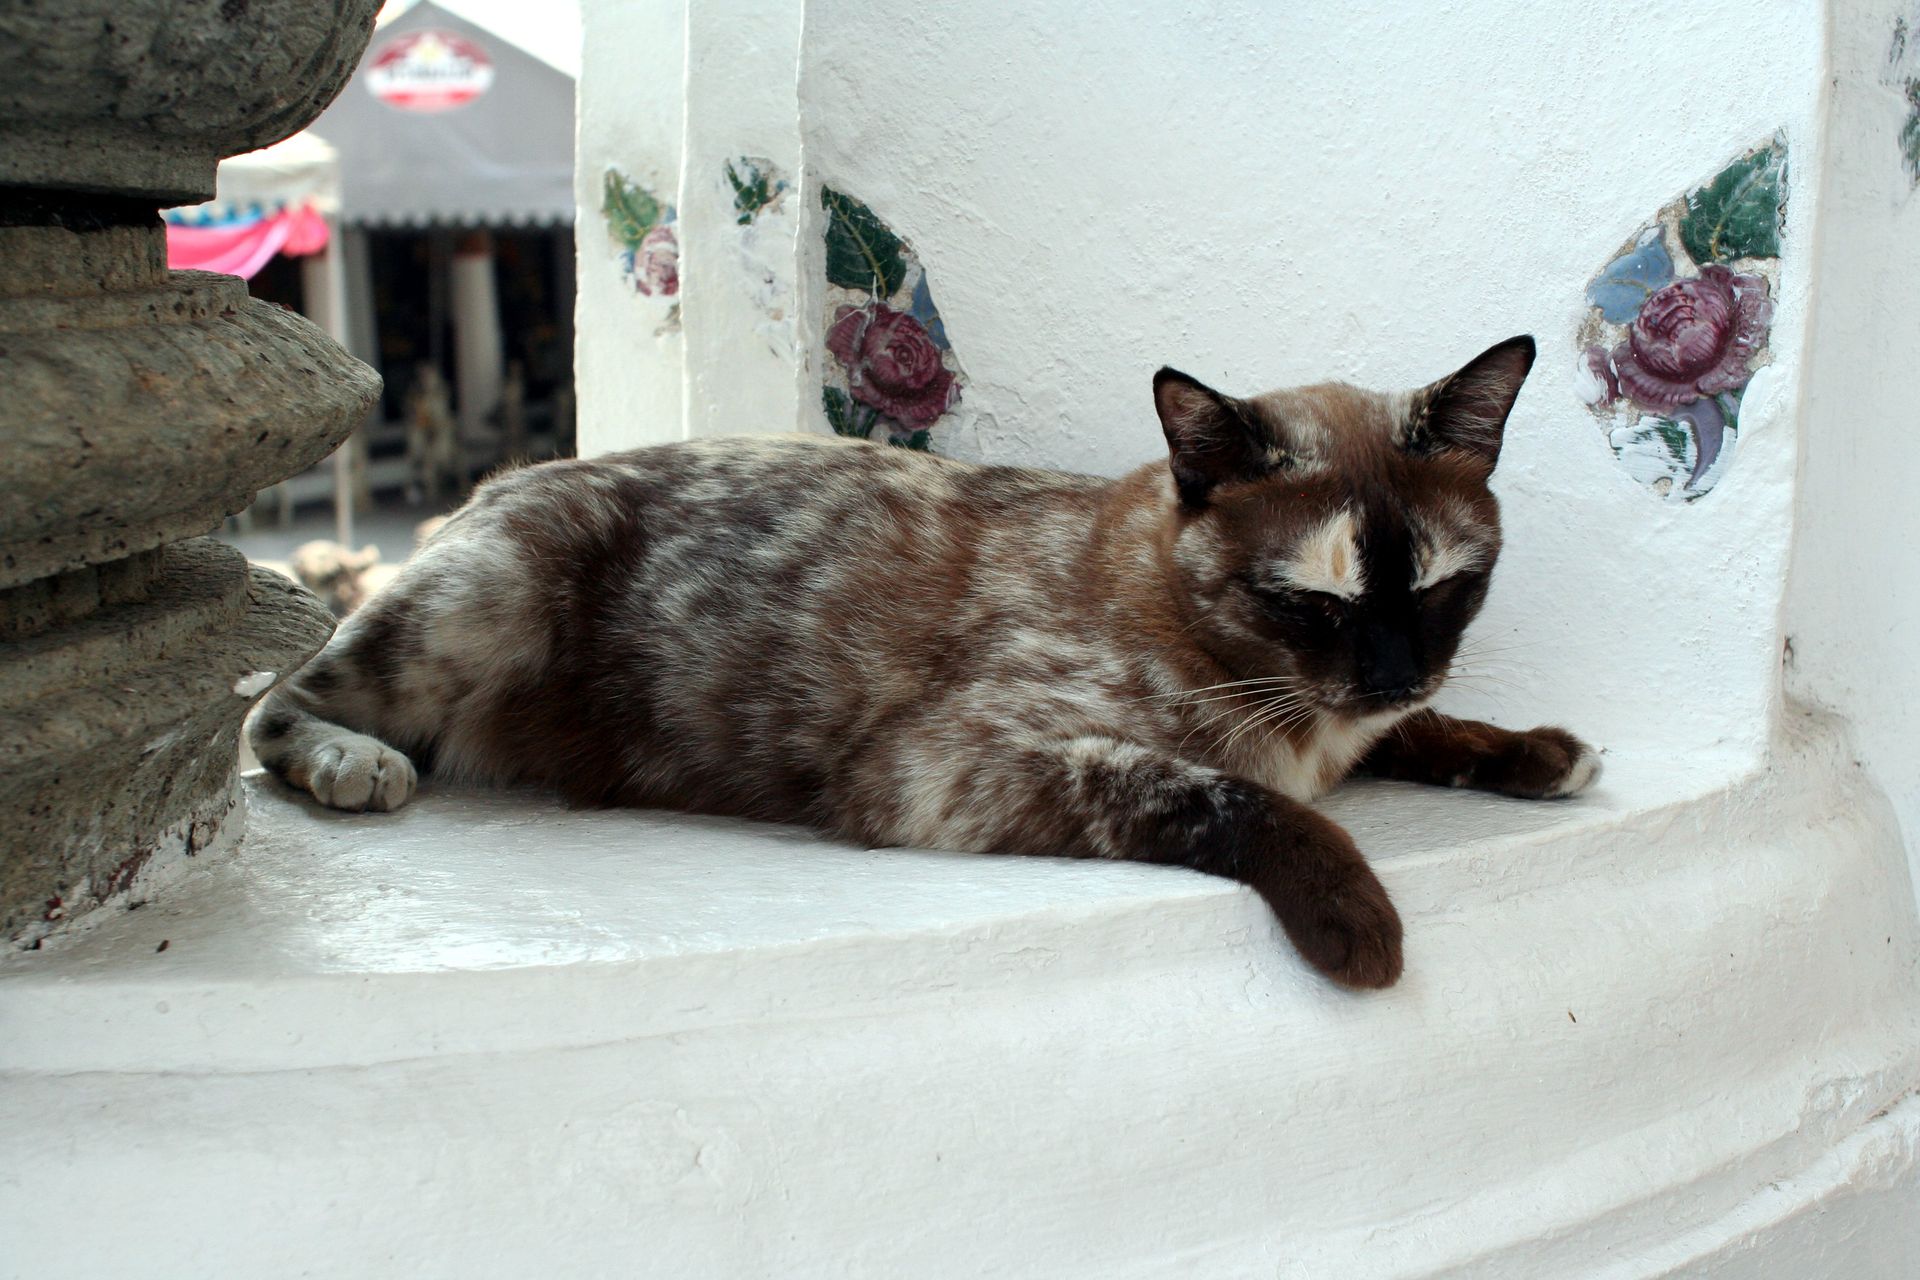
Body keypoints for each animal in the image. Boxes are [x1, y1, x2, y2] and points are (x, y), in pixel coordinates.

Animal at [249, 335, 1598, 989]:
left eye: (1442, 588)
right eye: (1312, 602)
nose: (1389, 671)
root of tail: (502, 478)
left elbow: (1424, 738)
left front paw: (1536, 751)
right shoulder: (949, 767)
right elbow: (1229, 796)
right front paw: (1359, 918)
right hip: (493, 597)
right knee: (275, 708)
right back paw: (350, 761)